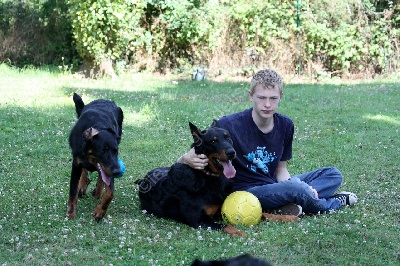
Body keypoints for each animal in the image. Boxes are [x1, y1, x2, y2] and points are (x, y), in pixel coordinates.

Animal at [66, 92, 122, 221]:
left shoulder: (110, 166)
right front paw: (71, 212)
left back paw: (97, 192)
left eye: (116, 151)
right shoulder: (76, 164)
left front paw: (100, 211)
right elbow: (73, 190)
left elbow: (110, 192)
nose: (117, 171)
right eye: (103, 151)